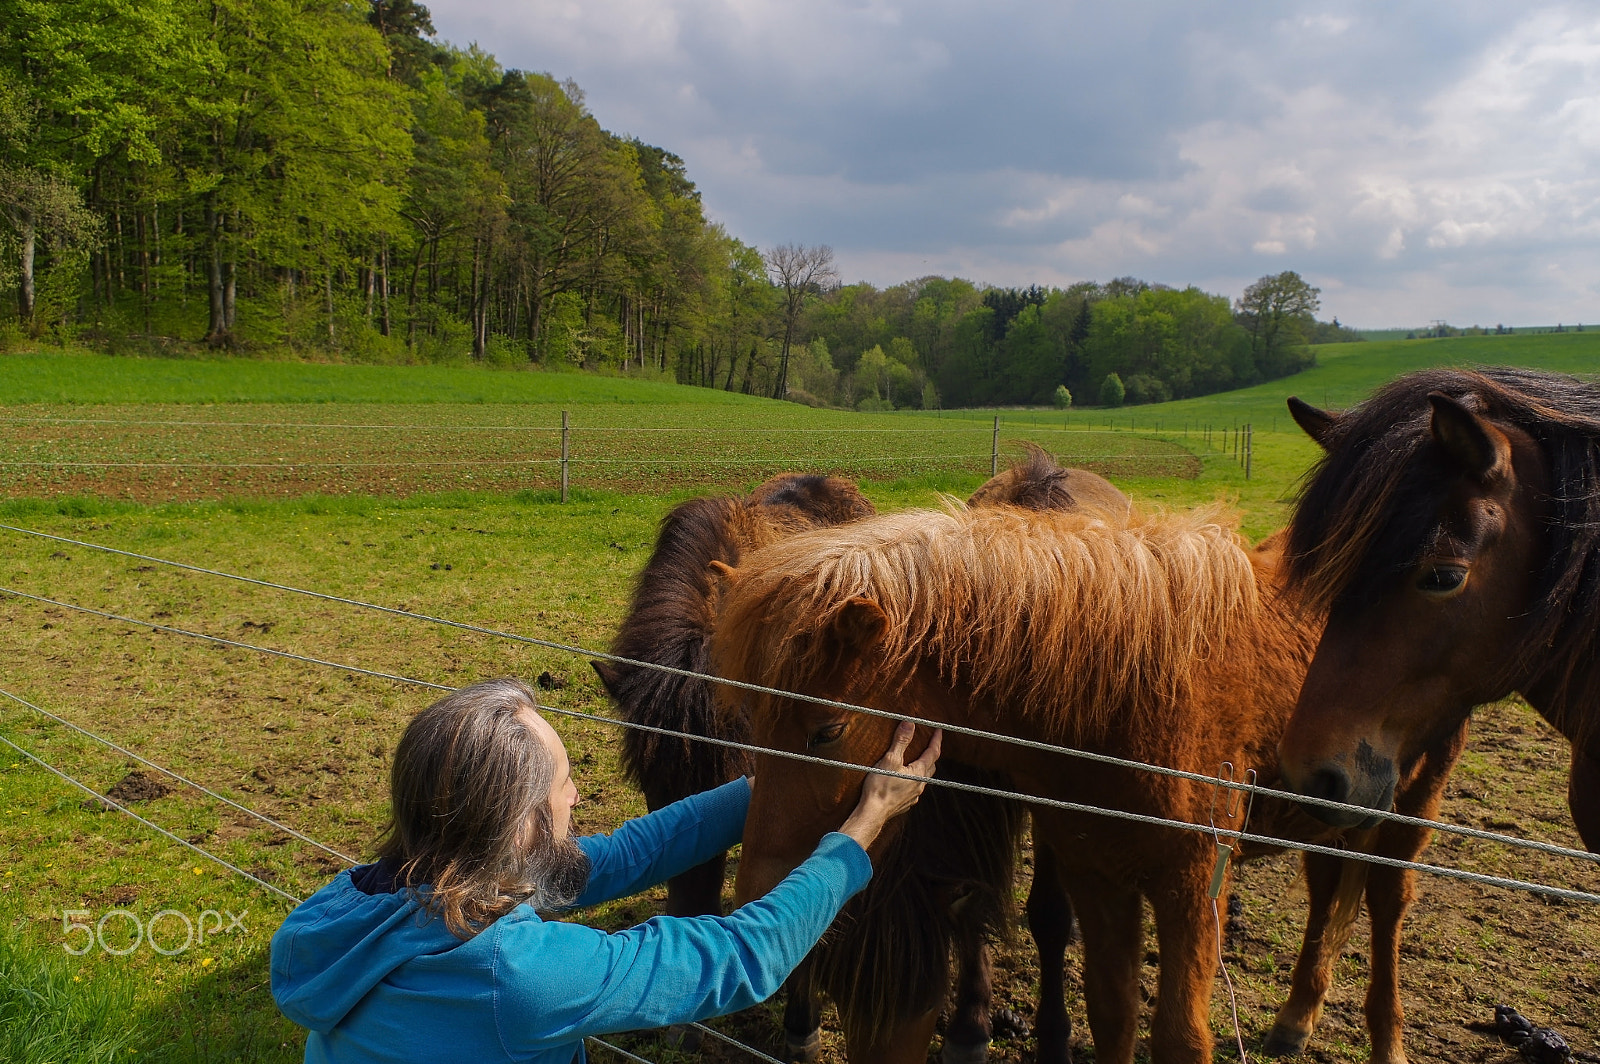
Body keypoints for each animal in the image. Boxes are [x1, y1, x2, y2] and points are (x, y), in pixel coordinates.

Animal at [720, 499, 1465, 1062]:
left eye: (826, 731)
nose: (756, 893)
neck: (1127, 693)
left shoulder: (1192, 887)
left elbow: (1180, 1038)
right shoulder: (1097, 874)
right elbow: (1112, 1013)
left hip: (1410, 808)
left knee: (1387, 905)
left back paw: (1387, 1042)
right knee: (1325, 889)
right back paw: (1297, 1019)